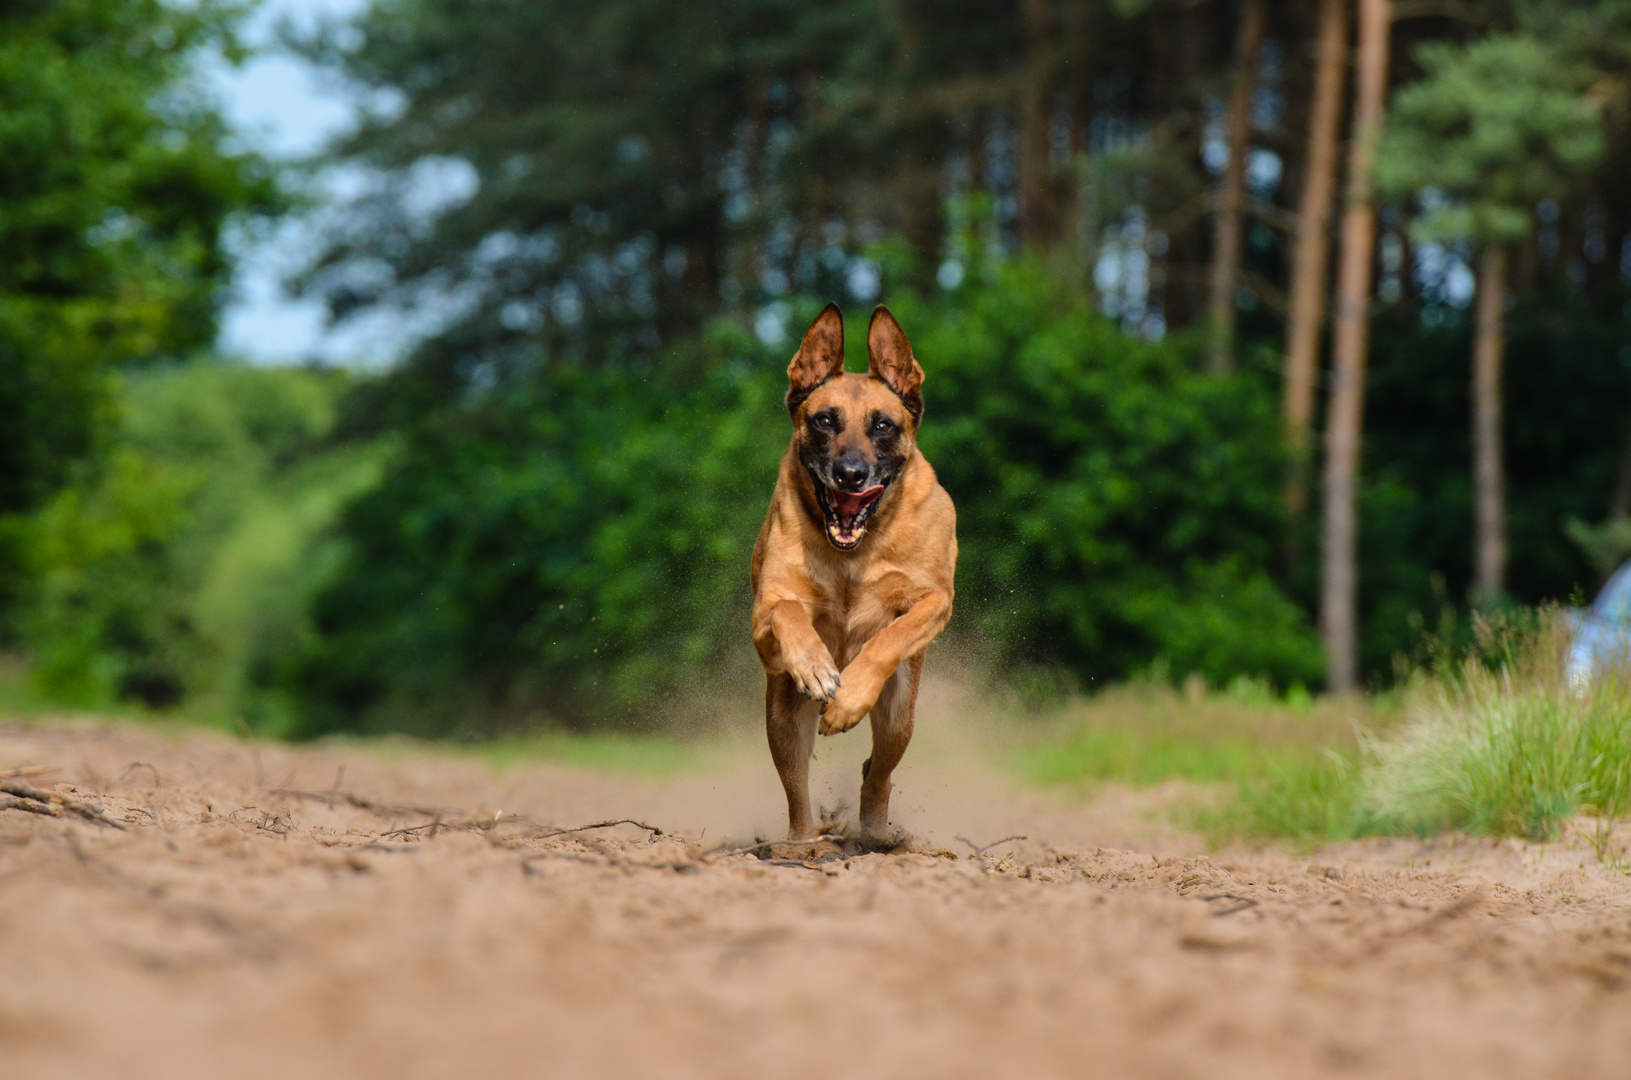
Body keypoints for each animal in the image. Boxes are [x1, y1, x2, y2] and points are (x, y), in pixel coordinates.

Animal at [746, 305, 959, 848]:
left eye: (882, 426)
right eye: (825, 420)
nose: (850, 473)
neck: (851, 554)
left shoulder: (936, 601)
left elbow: (890, 635)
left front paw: (847, 699)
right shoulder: (764, 621)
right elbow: (788, 608)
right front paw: (817, 667)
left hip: (899, 714)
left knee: (877, 775)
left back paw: (876, 837)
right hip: (781, 719)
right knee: (797, 795)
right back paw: (802, 844)